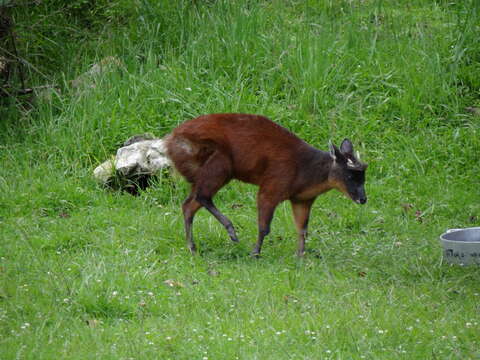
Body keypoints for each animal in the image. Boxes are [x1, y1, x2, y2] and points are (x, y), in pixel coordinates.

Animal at [165, 112, 368, 256]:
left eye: (363, 175)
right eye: (350, 175)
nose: (363, 199)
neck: (306, 172)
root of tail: (168, 140)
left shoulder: (302, 199)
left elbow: (302, 229)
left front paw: (301, 255)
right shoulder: (272, 186)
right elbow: (265, 227)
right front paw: (255, 253)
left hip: (200, 172)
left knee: (188, 205)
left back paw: (192, 247)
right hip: (220, 163)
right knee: (202, 196)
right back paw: (231, 232)